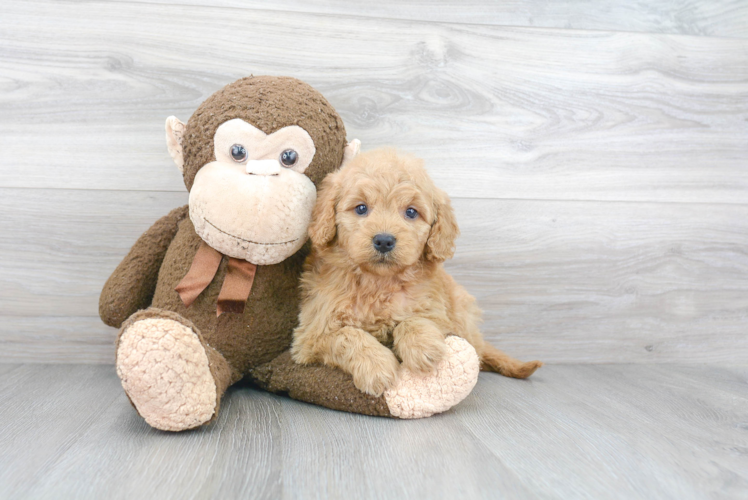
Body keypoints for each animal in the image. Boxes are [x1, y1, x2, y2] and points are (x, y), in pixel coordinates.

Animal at [290, 146, 540, 396]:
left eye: (411, 212)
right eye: (361, 208)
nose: (384, 240)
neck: (379, 282)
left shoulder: (438, 313)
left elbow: (414, 320)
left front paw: (423, 348)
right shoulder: (312, 333)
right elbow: (347, 335)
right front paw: (376, 367)